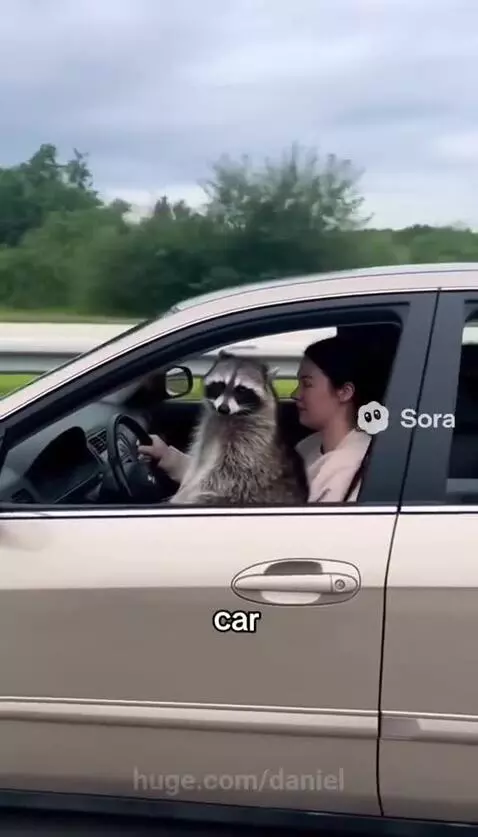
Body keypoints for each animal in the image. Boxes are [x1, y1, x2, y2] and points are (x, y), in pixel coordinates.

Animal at [170, 352, 309, 506]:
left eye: (241, 390)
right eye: (220, 385)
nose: (223, 408)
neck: (228, 417)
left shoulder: (251, 441)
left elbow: (226, 474)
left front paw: (183, 496)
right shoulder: (208, 430)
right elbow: (199, 461)